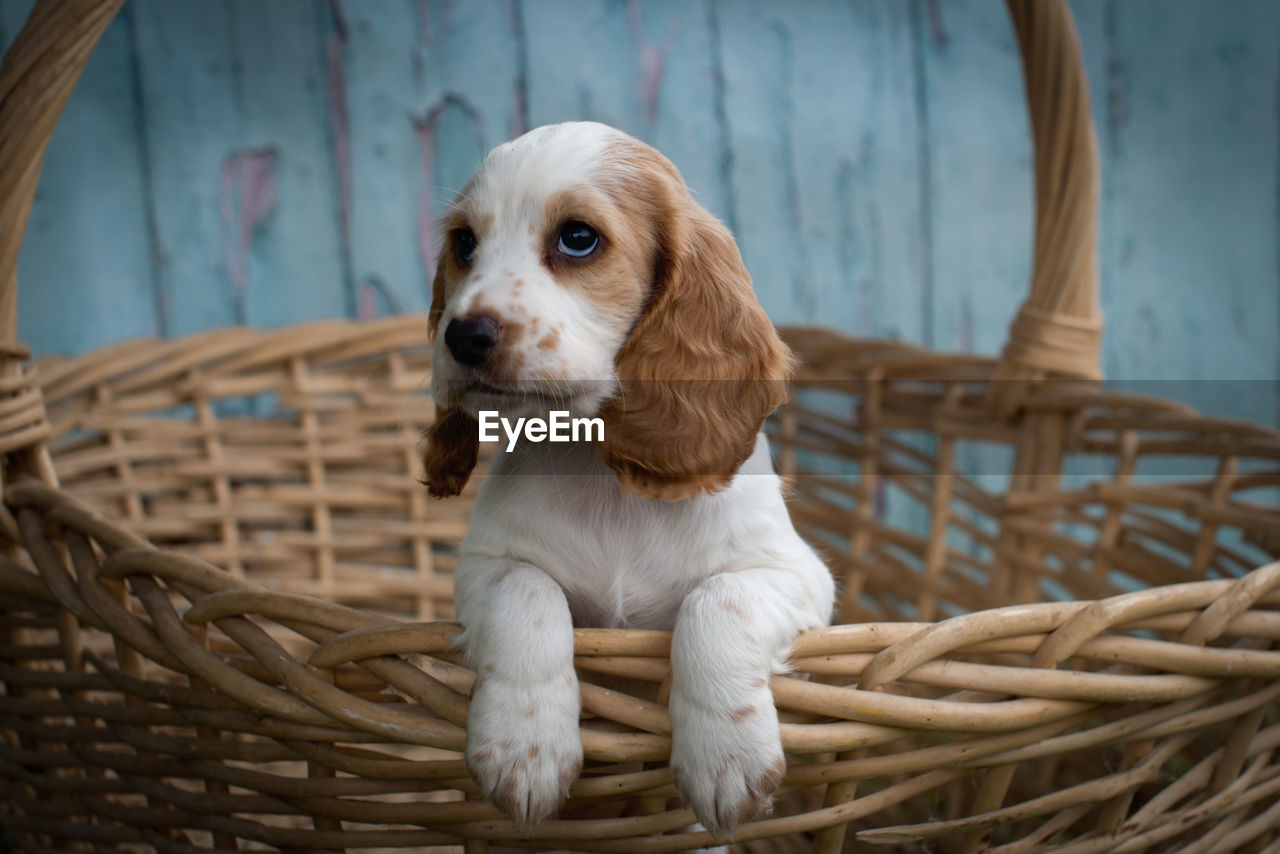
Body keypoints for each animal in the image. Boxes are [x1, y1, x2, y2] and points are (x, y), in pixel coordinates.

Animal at [424, 123, 834, 839]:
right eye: (464, 243)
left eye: (577, 237)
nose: (462, 336)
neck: (604, 478)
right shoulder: (483, 567)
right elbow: (526, 592)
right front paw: (524, 747)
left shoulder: (799, 577)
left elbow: (716, 599)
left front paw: (725, 758)